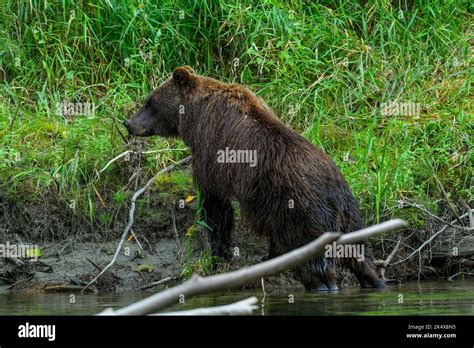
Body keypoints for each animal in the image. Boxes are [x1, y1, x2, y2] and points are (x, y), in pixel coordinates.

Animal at [124, 66, 384, 290]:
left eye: (150, 102)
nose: (127, 123)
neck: (195, 117)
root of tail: (335, 195)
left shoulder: (210, 153)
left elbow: (215, 206)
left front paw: (217, 255)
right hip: (351, 216)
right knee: (360, 255)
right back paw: (374, 279)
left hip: (305, 215)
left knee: (315, 263)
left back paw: (319, 282)